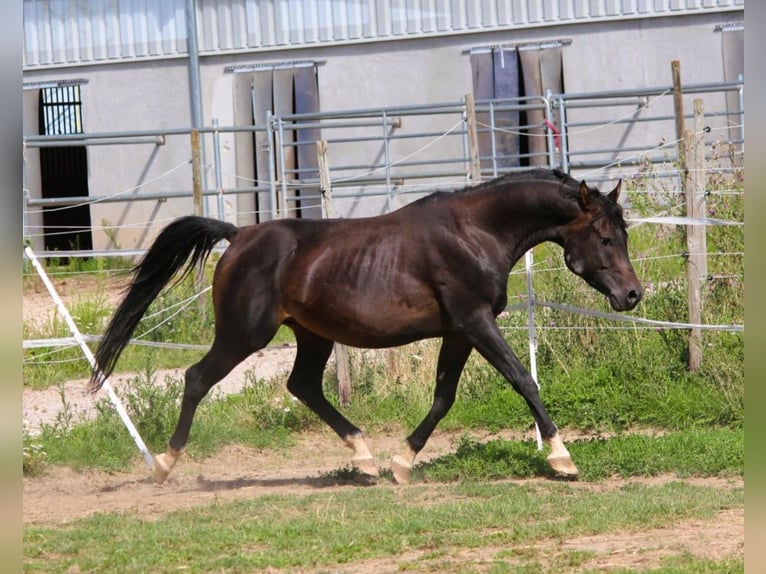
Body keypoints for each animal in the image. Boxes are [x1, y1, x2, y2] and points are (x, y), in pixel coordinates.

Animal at [90, 168, 643, 485]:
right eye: (604, 237)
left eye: (623, 234)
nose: (633, 295)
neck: (475, 233)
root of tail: (239, 235)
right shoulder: (475, 322)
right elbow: (523, 379)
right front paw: (562, 458)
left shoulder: (459, 332)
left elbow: (444, 398)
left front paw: (403, 463)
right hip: (243, 335)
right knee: (196, 379)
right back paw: (164, 466)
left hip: (312, 335)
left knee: (304, 386)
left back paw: (366, 457)